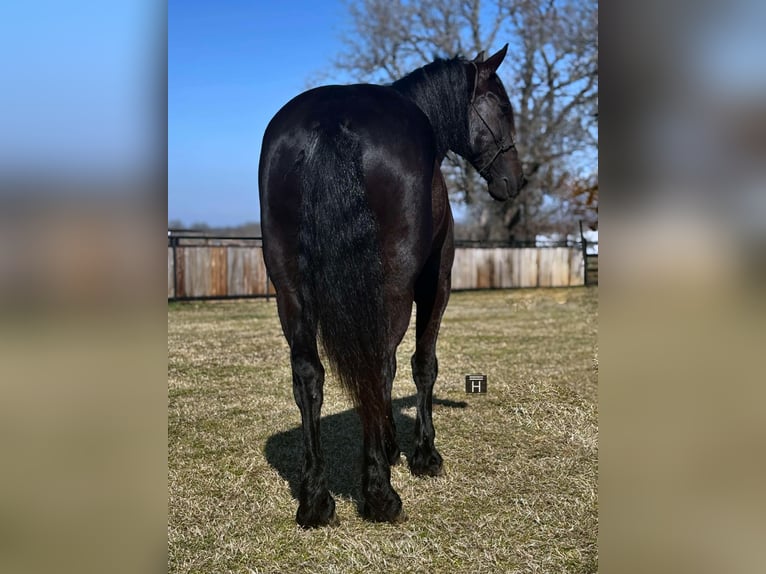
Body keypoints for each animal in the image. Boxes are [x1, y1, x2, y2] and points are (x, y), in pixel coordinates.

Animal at [258, 45, 526, 528]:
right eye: (502, 107)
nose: (515, 179)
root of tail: (332, 121)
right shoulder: (436, 281)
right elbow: (422, 364)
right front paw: (421, 453)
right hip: (394, 286)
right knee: (377, 366)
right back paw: (380, 495)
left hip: (289, 290)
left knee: (309, 376)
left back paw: (316, 501)